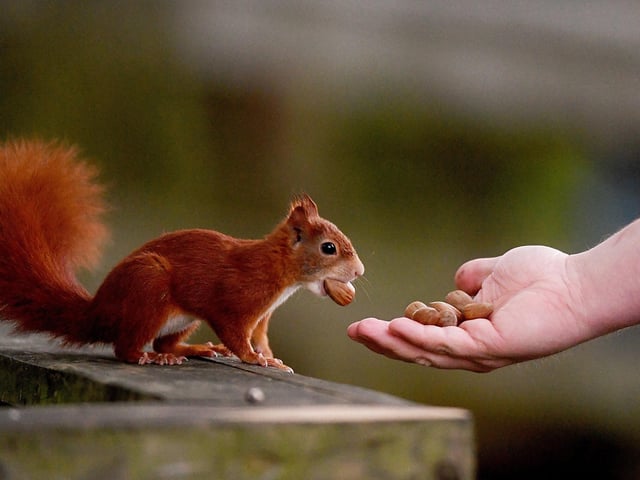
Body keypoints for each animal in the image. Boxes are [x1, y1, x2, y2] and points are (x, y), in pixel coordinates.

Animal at [0, 139, 364, 372]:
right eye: (329, 247)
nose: (359, 271)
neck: (280, 272)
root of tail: (97, 311)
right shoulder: (236, 300)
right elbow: (236, 333)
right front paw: (252, 358)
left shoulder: (263, 316)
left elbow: (260, 337)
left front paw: (271, 357)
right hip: (149, 291)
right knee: (125, 348)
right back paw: (150, 358)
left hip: (182, 318)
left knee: (163, 342)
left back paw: (195, 349)